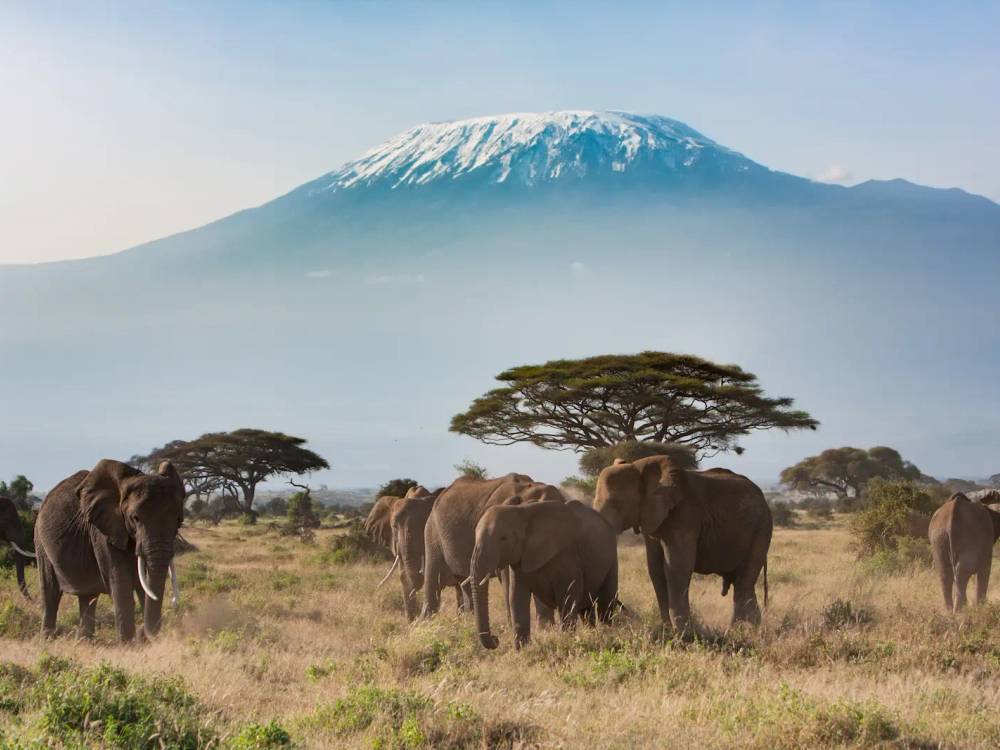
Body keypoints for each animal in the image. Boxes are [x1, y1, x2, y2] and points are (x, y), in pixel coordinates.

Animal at [34, 459, 185, 642]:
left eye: (178, 520)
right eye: (135, 518)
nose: (144, 633)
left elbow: (143, 584)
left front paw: (143, 641)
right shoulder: (103, 530)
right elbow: (120, 581)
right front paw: (128, 644)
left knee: (88, 595)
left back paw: (85, 640)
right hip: (40, 541)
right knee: (50, 590)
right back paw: (48, 638)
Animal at [471, 498, 619, 649]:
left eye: (503, 538)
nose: (496, 638)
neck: (521, 512)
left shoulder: (567, 554)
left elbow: (568, 597)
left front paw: (567, 641)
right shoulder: (519, 559)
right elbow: (517, 598)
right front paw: (523, 650)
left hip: (611, 557)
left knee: (605, 605)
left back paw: (609, 633)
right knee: (586, 611)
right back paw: (593, 633)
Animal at [593, 457, 771, 631]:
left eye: (616, 503)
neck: (639, 466)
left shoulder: (685, 515)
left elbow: (676, 568)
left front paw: (683, 632)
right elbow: (656, 569)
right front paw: (669, 630)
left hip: (761, 529)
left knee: (744, 582)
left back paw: (743, 630)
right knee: (740, 581)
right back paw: (746, 628)